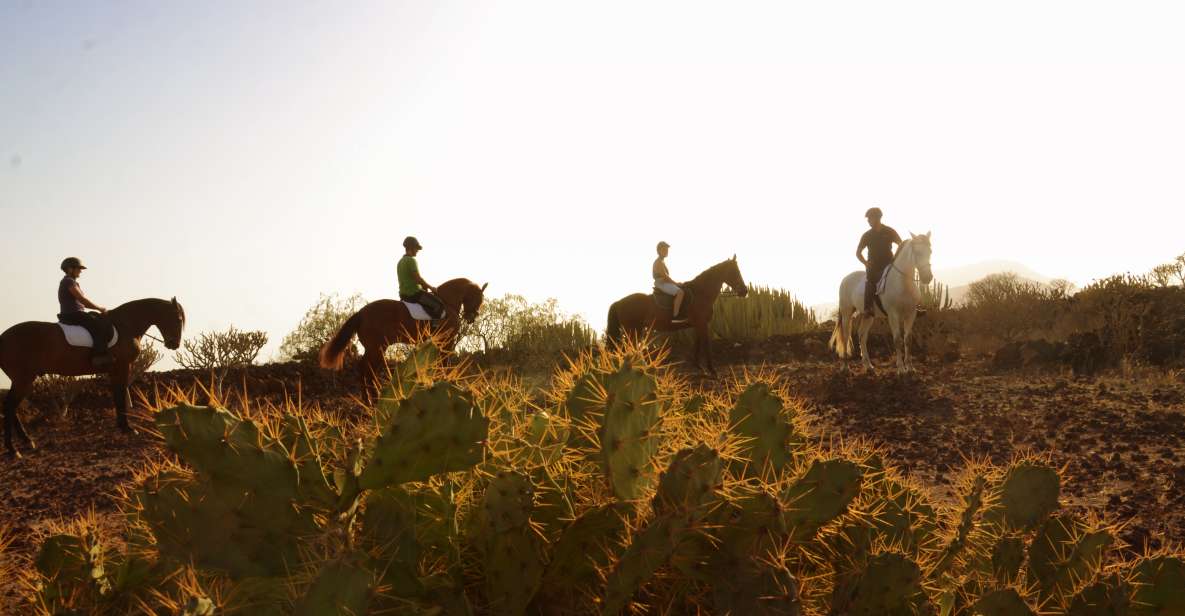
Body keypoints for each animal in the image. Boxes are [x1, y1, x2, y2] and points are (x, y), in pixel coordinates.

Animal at [1, 298, 186, 457]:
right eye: (178, 319)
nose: (174, 344)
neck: (125, 325)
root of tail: (3, 338)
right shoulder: (122, 367)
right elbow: (120, 396)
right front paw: (128, 428)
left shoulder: (114, 370)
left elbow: (117, 396)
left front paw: (122, 426)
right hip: (23, 379)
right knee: (9, 406)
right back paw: (13, 449)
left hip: (23, 380)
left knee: (12, 407)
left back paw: (26, 441)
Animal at [319, 279, 485, 400]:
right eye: (477, 298)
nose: (471, 318)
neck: (447, 303)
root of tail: (361, 313)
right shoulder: (447, 341)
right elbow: (444, 363)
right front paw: (446, 380)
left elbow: (441, 363)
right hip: (377, 349)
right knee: (368, 370)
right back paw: (375, 398)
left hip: (374, 349)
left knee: (364, 369)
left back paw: (369, 399)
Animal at [606, 255, 744, 371]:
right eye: (735, 271)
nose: (744, 291)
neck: (701, 293)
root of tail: (618, 302)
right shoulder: (703, 324)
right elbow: (706, 345)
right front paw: (712, 371)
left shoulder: (698, 325)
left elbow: (697, 344)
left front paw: (698, 366)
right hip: (632, 330)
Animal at [829, 232, 929, 371]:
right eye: (917, 252)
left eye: (930, 251)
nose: (928, 277)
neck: (902, 283)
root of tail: (845, 279)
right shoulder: (893, 315)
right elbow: (897, 339)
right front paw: (901, 369)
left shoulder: (911, 313)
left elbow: (907, 339)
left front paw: (910, 367)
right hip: (846, 313)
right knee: (845, 336)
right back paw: (845, 367)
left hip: (867, 315)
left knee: (862, 335)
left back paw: (868, 365)